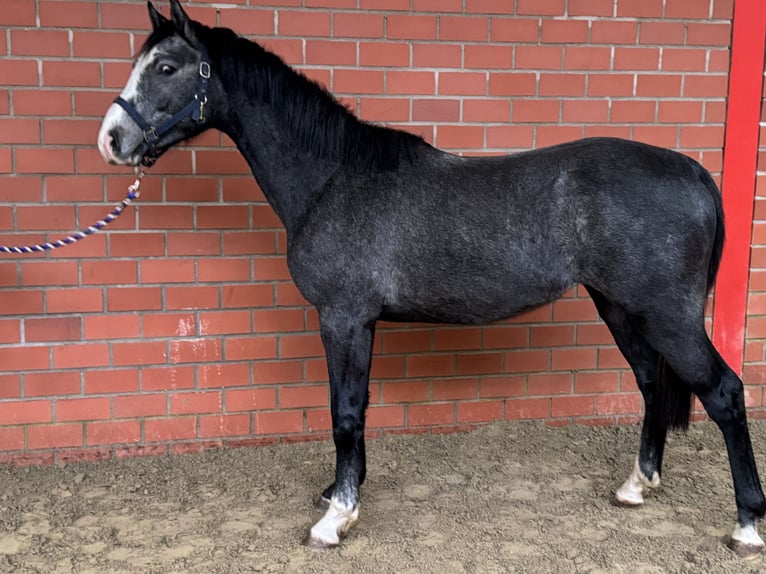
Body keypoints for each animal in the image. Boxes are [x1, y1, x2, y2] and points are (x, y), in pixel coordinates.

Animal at [99, 0, 764, 560]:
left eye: (165, 66)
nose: (112, 139)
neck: (334, 177)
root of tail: (691, 170)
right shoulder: (359, 323)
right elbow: (356, 408)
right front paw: (341, 493)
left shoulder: (343, 318)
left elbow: (345, 412)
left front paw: (335, 519)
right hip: (621, 308)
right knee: (652, 383)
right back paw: (636, 486)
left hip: (666, 315)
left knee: (725, 393)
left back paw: (746, 525)